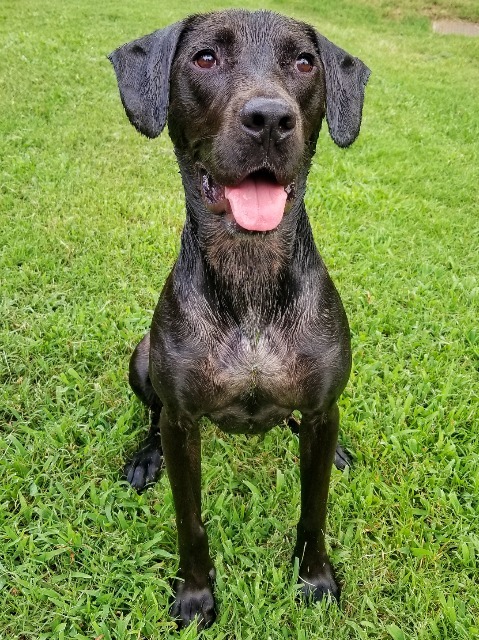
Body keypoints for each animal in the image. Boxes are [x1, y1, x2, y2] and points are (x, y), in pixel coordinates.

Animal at [109, 10, 372, 632]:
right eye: (204, 58)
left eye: (305, 62)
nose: (270, 119)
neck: (250, 271)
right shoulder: (183, 421)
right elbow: (190, 520)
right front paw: (196, 596)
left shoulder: (322, 407)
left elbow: (314, 508)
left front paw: (314, 579)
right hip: (141, 360)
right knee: (150, 416)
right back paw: (144, 458)